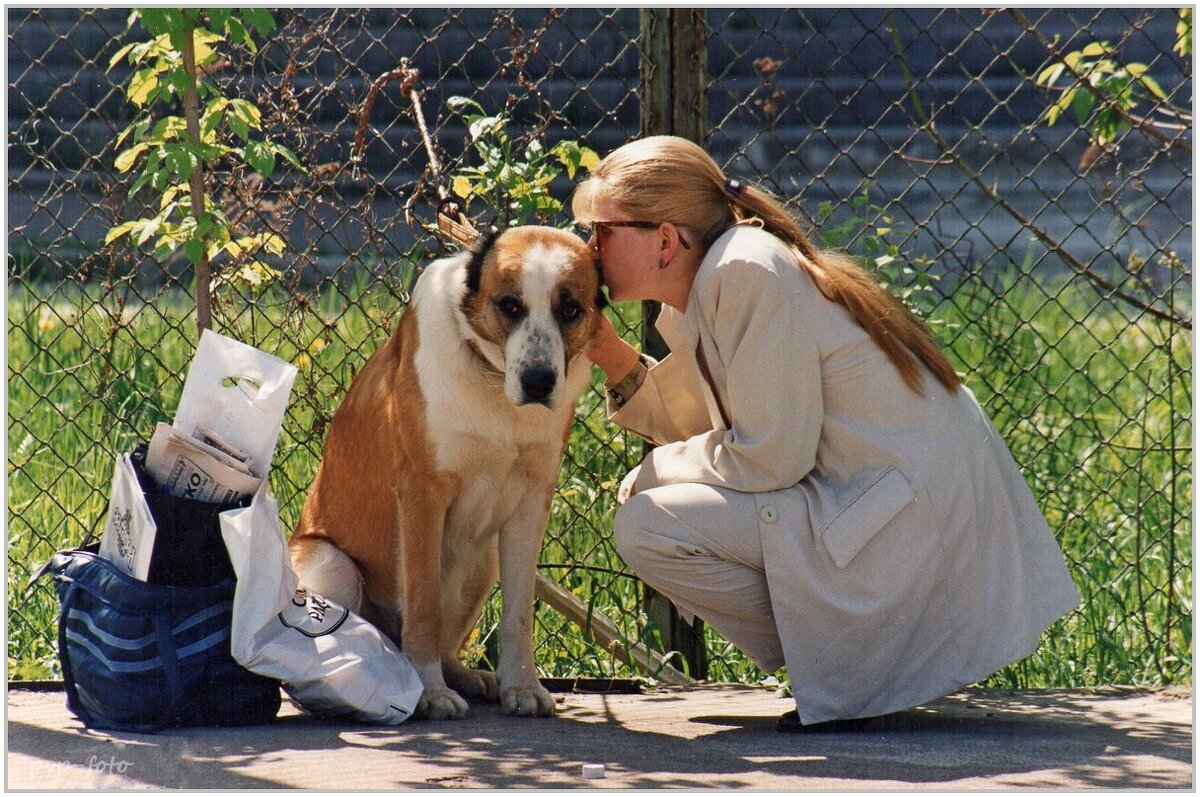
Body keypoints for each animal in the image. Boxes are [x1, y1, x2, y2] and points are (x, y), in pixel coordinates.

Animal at [286, 226, 604, 720]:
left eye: (570, 309)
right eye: (510, 305)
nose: (537, 381)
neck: (494, 386)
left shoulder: (532, 503)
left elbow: (518, 615)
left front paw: (522, 686)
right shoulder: (422, 497)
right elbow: (424, 610)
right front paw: (429, 692)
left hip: (483, 561)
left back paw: (468, 677)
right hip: (330, 563)